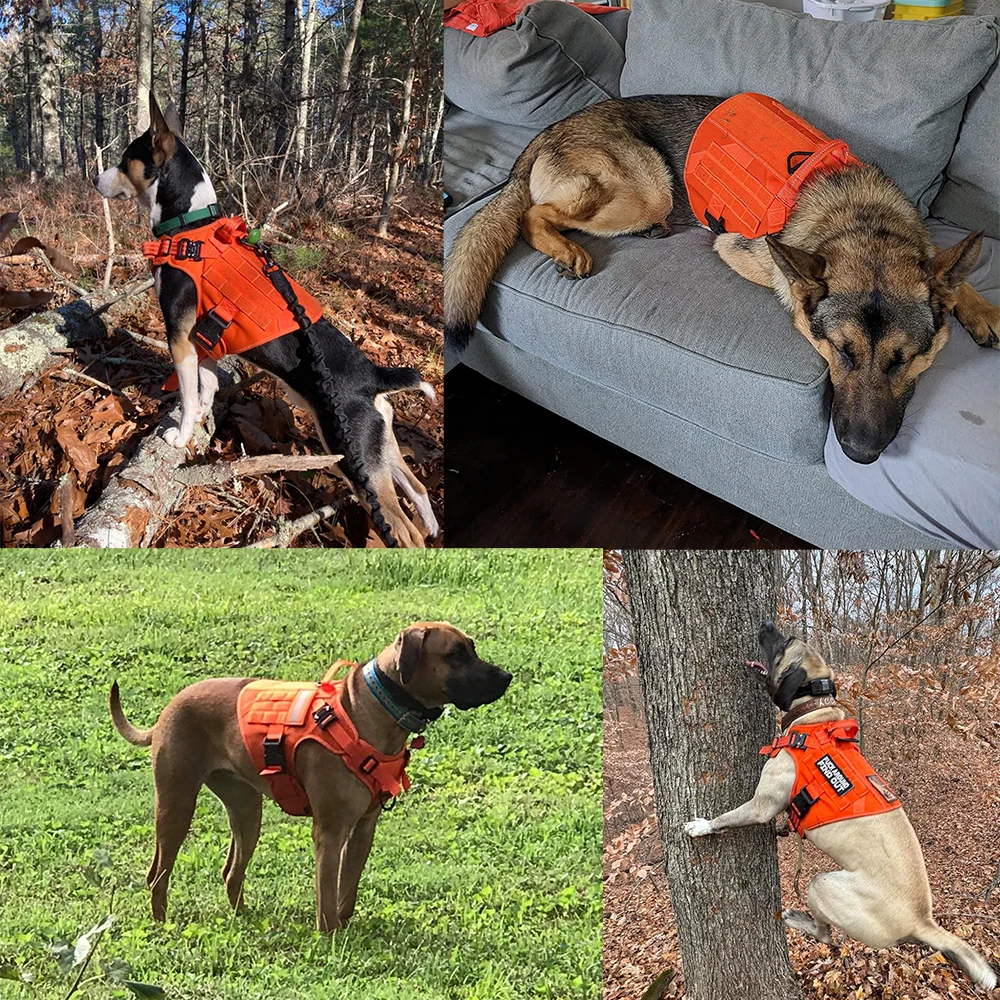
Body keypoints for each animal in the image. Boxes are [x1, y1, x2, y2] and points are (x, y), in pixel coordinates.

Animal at [95, 94, 436, 548]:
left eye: (124, 160)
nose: (94, 179)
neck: (191, 228)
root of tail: (374, 377)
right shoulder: (205, 340)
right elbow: (205, 389)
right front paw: (202, 419)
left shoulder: (180, 337)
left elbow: (186, 395)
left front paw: (181, 436)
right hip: (382, 447)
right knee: (418, 489)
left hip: (355, 453)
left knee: (402, 528)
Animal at [109, 620, 512, 932]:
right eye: (455, 654)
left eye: (472, 648)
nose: (507, 677)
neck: (372, 708)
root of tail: (170, 706)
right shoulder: (330, 832)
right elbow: (327, 893)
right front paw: (330, 937)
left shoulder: (363, 829)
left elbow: (346, 890)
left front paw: (346, 928)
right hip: (176, 803)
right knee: (157, 873)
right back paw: (162, 924)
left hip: (246, 809)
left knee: (231, 870)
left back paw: (243, 918)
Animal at [448, 95, 1000, 462]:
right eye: (842, 352)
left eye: (905, 359)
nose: (860, 454)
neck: (863, 221)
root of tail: (546, 131)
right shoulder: (739, 250)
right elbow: (789, 286)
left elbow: (951, 276)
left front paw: (982, 311)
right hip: (647, 189)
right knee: (532, 214)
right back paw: (567, 249)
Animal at [684, 620, 996, 988]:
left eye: (784, 645)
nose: (766, 623)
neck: (813, 712)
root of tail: (922, 920)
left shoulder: (762, 803)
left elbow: (729, 816)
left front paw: (702, 825)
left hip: (822, 885)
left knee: (826, 933)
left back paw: (797, 919)